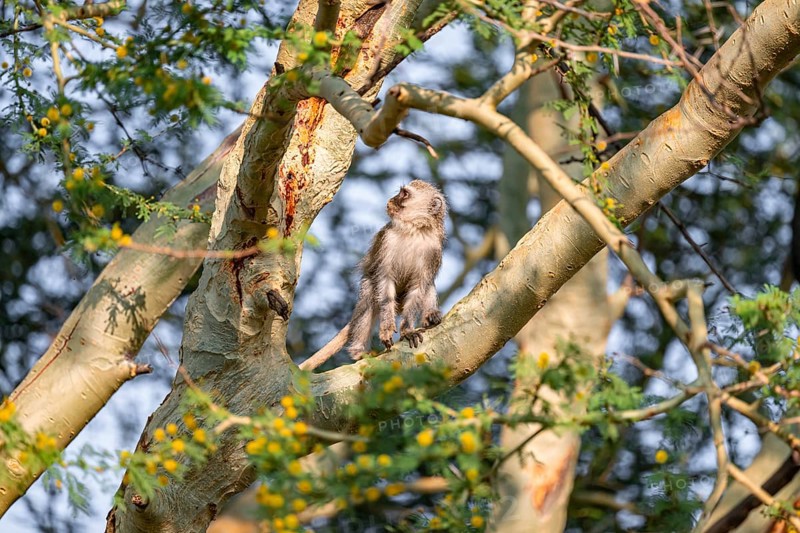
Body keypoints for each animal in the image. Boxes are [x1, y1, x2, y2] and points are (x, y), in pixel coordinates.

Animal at [299, 180, 447, 371]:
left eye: (405, 194)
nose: (391, 200)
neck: (414, 229)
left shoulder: (434, 250)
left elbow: (419, 286)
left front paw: (408, 330)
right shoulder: (388, 240)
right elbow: (385, 280)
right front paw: (386, 328)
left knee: (429, 284)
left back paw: (430, 317)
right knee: (369, 295)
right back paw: (359, 352)